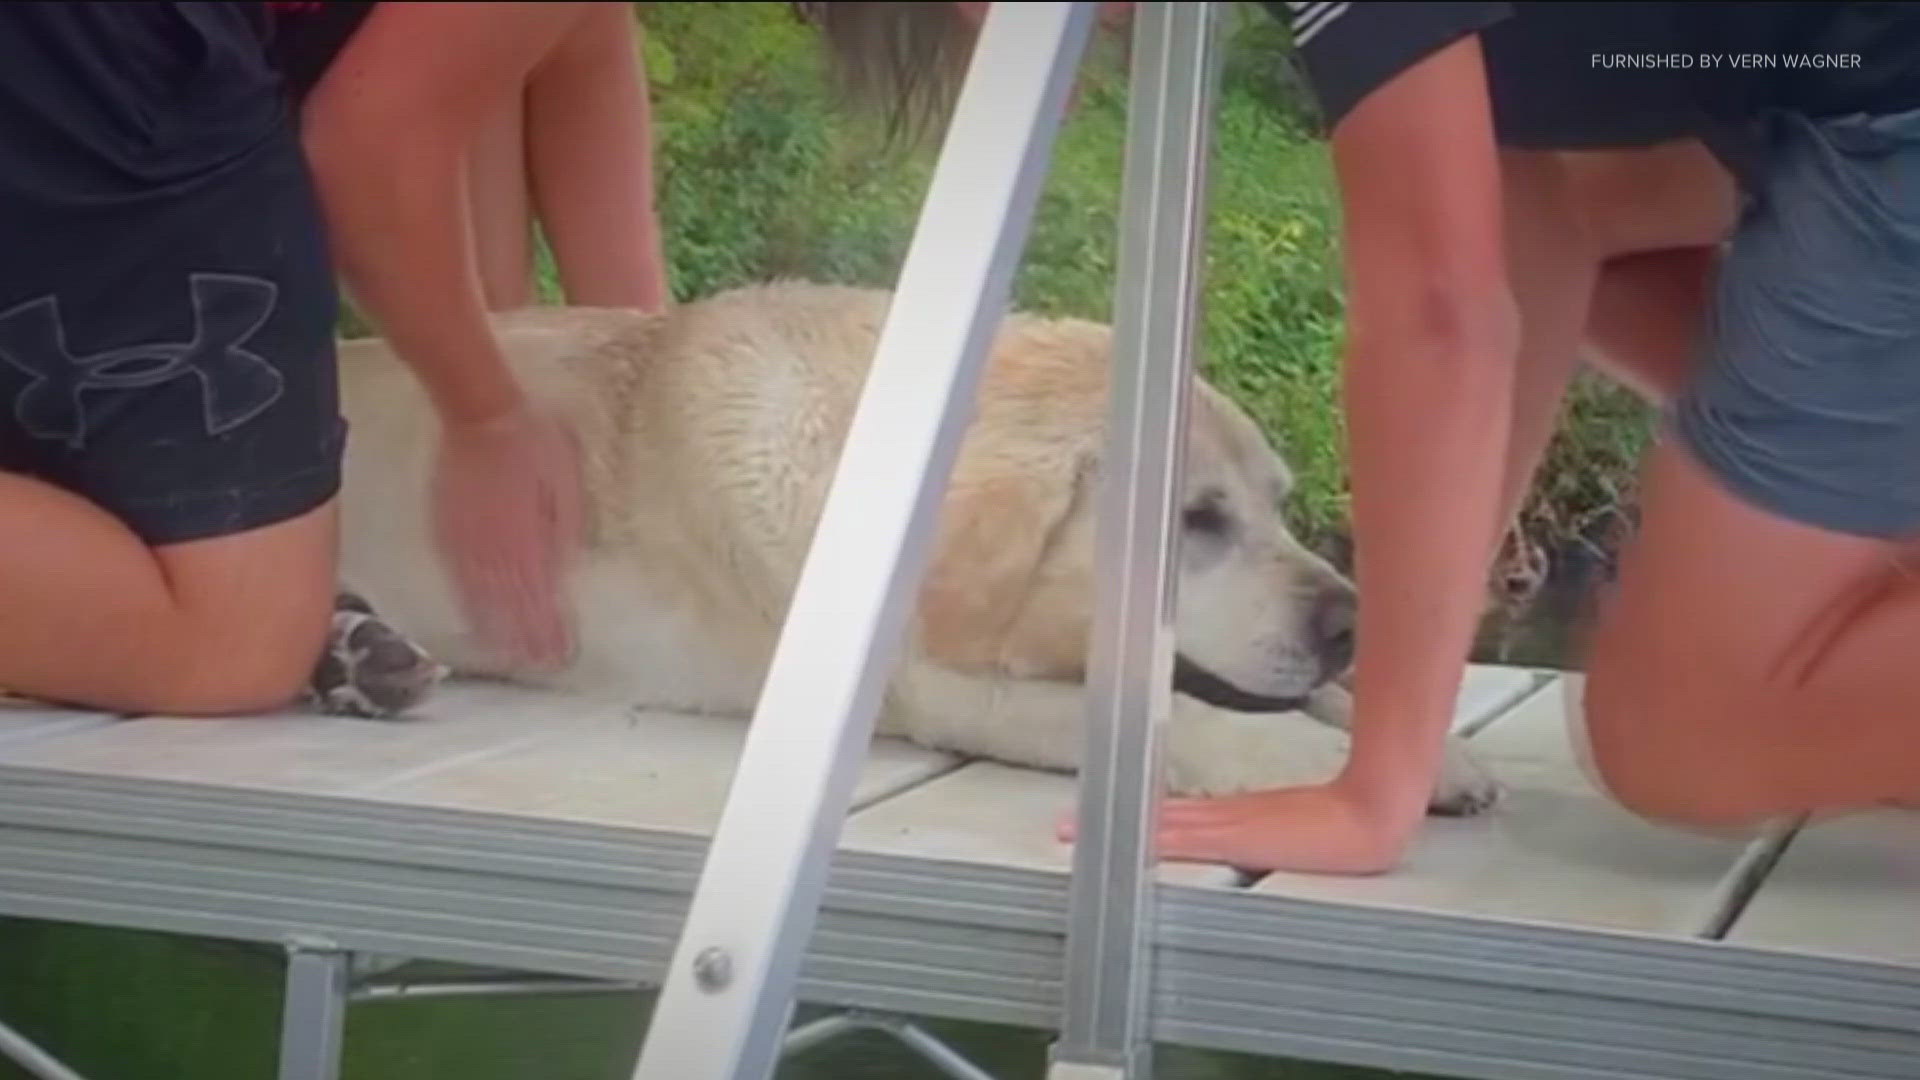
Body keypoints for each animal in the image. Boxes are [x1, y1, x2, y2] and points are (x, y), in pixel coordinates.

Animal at [330, 282, 1497, 810]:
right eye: (1197, 519)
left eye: (1280, 504)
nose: (1350, 623)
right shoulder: (941, 687)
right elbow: (1183, 720)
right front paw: (1316, 762)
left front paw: (1420, 750)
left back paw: (363, 661)